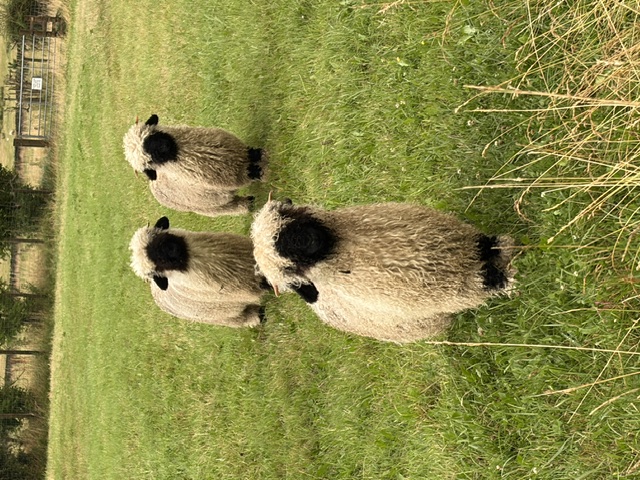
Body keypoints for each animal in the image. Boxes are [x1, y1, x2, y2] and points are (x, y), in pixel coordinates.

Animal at [123, 114, 267, 216]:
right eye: (151, 160)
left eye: (151, 136)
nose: (165, 146)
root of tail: (153, 187)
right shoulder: (233, 176)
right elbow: (250, 174)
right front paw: (260, 172)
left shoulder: (236, 151)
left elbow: (250, 154)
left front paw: (259, 154)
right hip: (210, 206)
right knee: (233, 206)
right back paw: (249, 204)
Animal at [130, 216, 270, 327]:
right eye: (159, 264)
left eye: (156, 236)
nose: (171, 249)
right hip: (224, 316)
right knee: (244, 318)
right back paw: (259, 317)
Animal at [251, 198, 515, 343]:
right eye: (291, 268)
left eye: (289, 219)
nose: (309, 240)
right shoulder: (446, 291)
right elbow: (482, 285)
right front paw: (508, 281)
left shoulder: (462, 243)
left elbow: (486, 245)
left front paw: (504, 247)